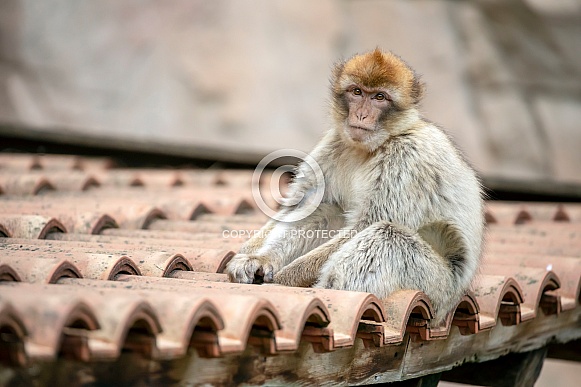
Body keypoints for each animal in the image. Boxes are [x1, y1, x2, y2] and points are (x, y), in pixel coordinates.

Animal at [227, 48, 484, 324]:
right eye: (357, 92)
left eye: (380, 97)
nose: (361, 114)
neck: (373, 147)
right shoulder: (335, 143)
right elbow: (300, 205)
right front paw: (257, 258)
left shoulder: (406, 159)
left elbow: (368, 223)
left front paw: (284, 279)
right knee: (326, 209)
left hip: (436, 287)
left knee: (386, 236)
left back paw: (328, 292)